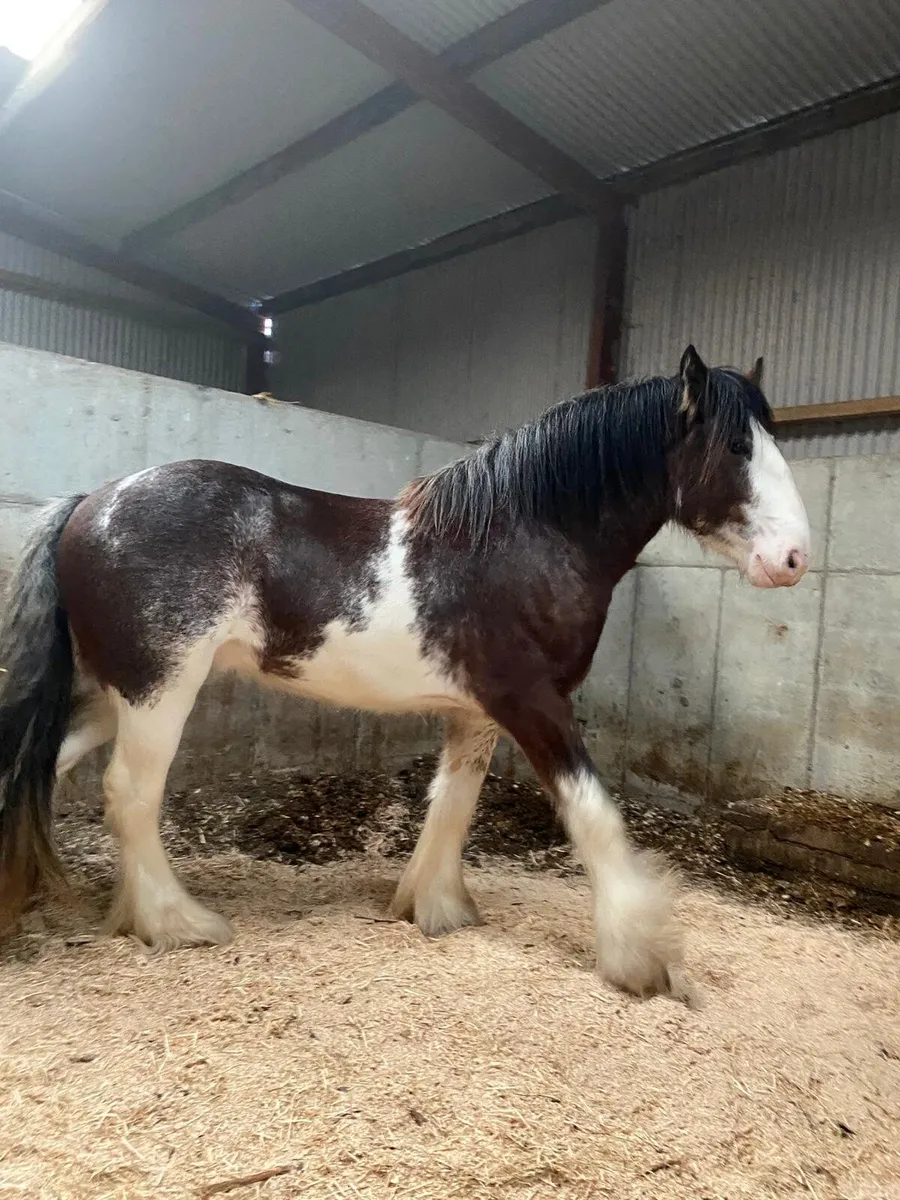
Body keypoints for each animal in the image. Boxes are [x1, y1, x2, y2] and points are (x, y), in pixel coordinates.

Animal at [0, 345, 810, 998]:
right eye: (736, 446)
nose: (794, 559)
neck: (523, 536)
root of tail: (93, 502)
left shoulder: (477, 712)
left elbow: (452, 804)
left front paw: (436, 908)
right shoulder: (532, 701)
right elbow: (593, 813)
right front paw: (642, 957)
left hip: (109, 694)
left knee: (41, 765)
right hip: (158, 690)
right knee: (129, 794)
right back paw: (177, 922)